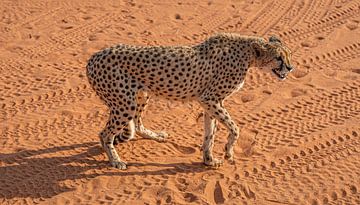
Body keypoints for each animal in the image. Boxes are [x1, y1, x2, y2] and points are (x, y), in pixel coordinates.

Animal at [87, 32, 296, 169]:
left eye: (288, 55)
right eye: (278, 58)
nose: (290, 67)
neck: (247, 53)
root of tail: (93, 57)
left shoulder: (210, 103)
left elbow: (210, 133)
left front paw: (209, 160)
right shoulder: (210, 99)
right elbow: (234, 128)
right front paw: (228, 152)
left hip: (141, 94)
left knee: (136, 126)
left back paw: (155, 135)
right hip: (125, 104)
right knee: (104, 134)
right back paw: (115, 161)